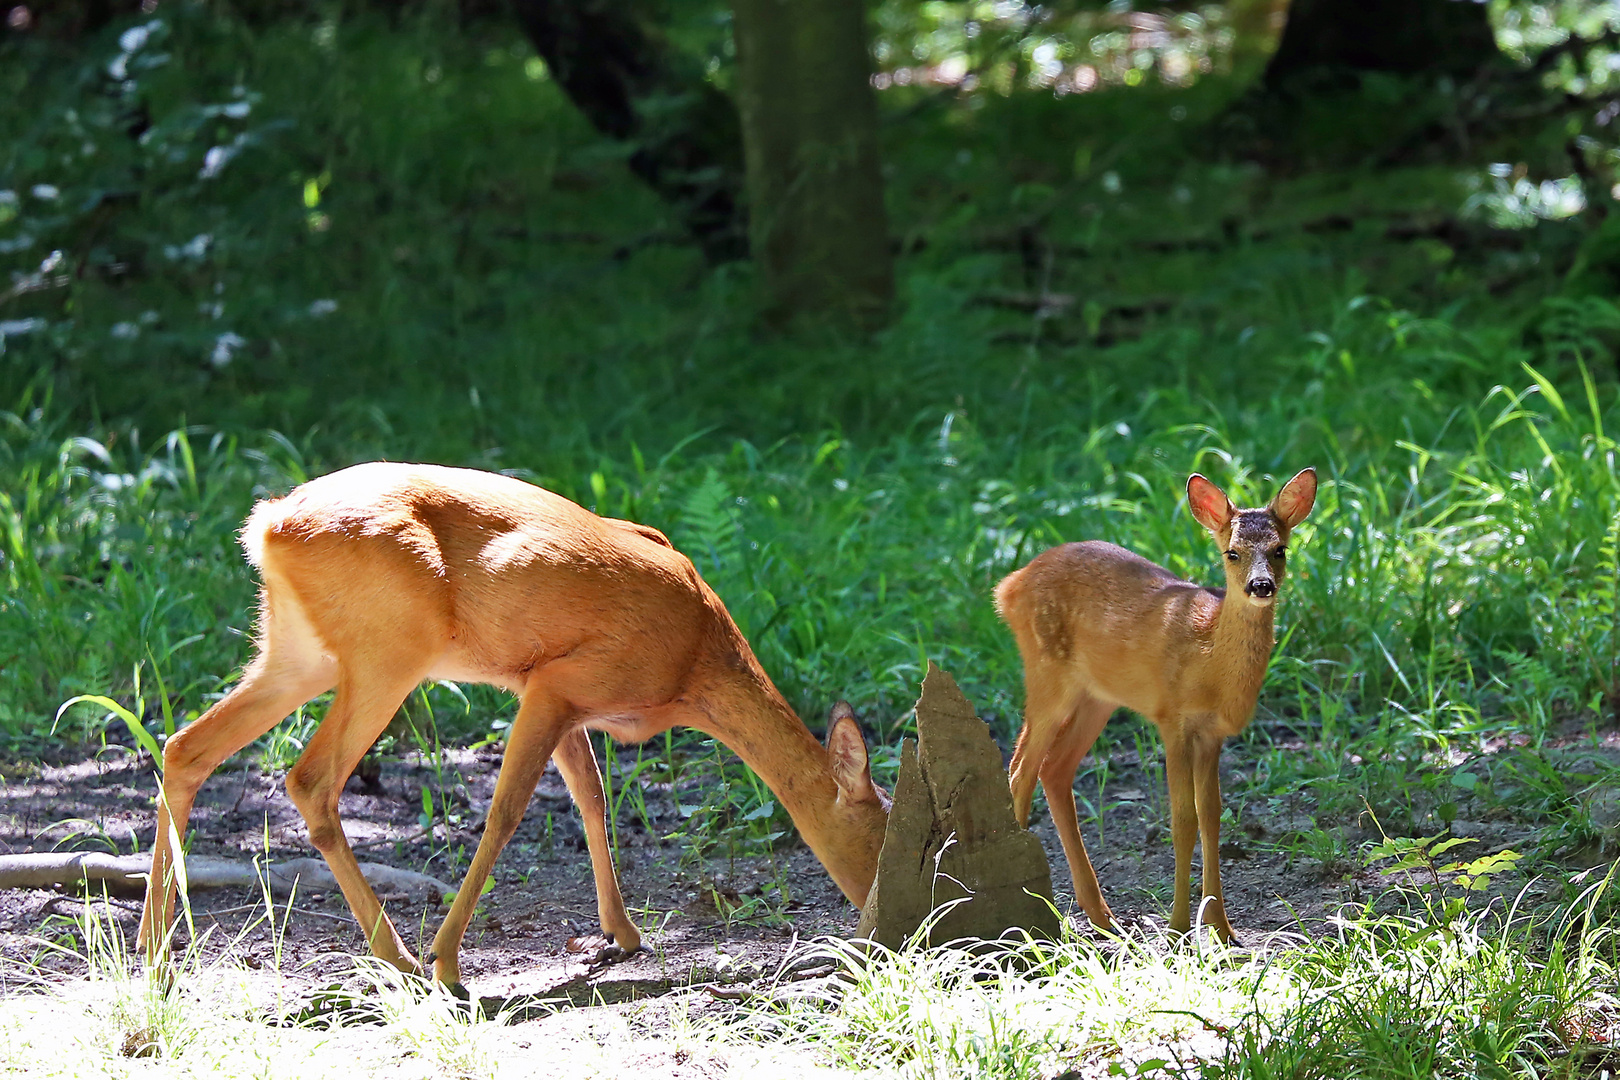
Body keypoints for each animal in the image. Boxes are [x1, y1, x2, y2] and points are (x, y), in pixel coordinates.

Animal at [140, 463, 894, 990]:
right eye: (887, 835)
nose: (897, 933)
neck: (692, 666)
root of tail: (268, 525)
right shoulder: (563, 679)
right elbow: (506, 811)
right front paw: (449, 960)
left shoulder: (554, 693)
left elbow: (590, 794)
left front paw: (623, 933)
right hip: (389, 649)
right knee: (309, 778)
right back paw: (403, 959)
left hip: (297, 653)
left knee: (185, 747)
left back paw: (153, 950)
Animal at [997, 469, 1315, 939]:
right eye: (1232, 553)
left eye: (1281, 550)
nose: (1261, 586)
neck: (1208, 661)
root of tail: (1008, 587)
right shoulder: (1173, 719)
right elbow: (1182, 820)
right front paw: (1180, 926)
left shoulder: (1212, 734)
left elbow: (1211, 816)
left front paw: (1223, 928)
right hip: (1046, 672)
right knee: (1021, 769)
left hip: (1097, 697)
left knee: (1054, 769)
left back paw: (1102, 916)